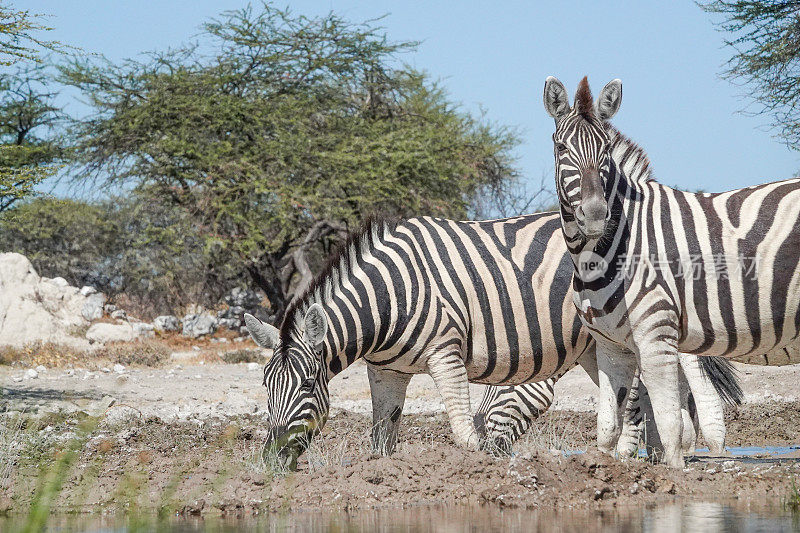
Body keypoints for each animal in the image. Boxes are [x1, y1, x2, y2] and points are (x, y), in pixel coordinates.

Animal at [242, 212, 736, 466]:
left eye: (309, 385)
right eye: (266, 387)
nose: (272, 459)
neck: (388, 298)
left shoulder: (445, 352)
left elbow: (462, 432)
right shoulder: (386, 371)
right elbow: (382, 438)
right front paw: (381, 477)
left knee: (679, 375)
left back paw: (688, 449)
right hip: (598, 345)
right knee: (639, 391)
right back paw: (645, 459)